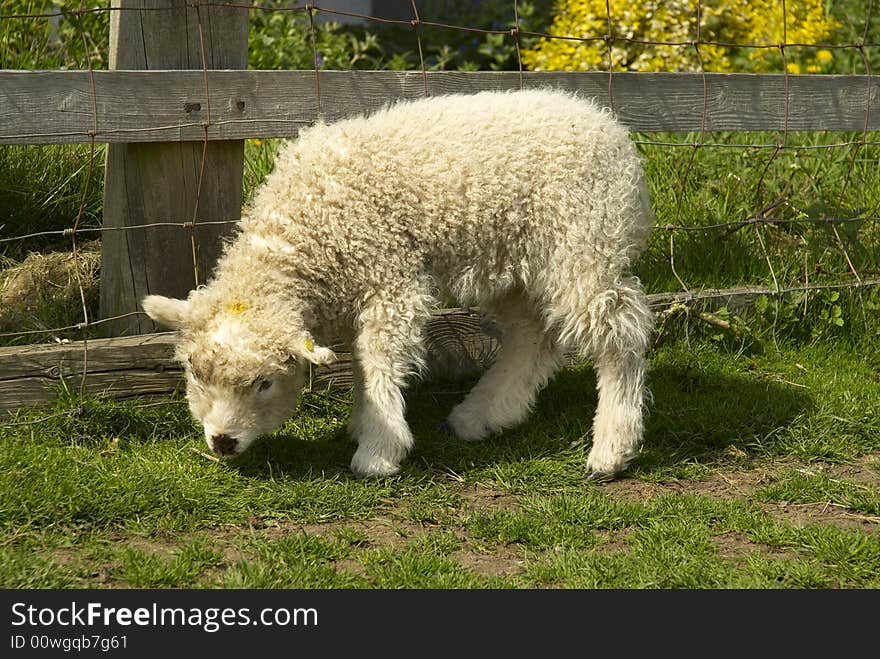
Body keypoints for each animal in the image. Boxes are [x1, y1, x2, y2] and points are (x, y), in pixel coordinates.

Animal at [141, 89, 652, 480]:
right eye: (196, 374)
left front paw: (378, 449)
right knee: (534, 338)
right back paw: (482, 414)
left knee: (620, 335)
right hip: (513, 265)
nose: (222, 442)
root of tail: (607, 123)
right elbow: (361, 362)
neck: (303, 229)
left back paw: (612, 447)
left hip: (584, 246)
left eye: (265, 382)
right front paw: (363, 423)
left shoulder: (390, 278)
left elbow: (378, 362)